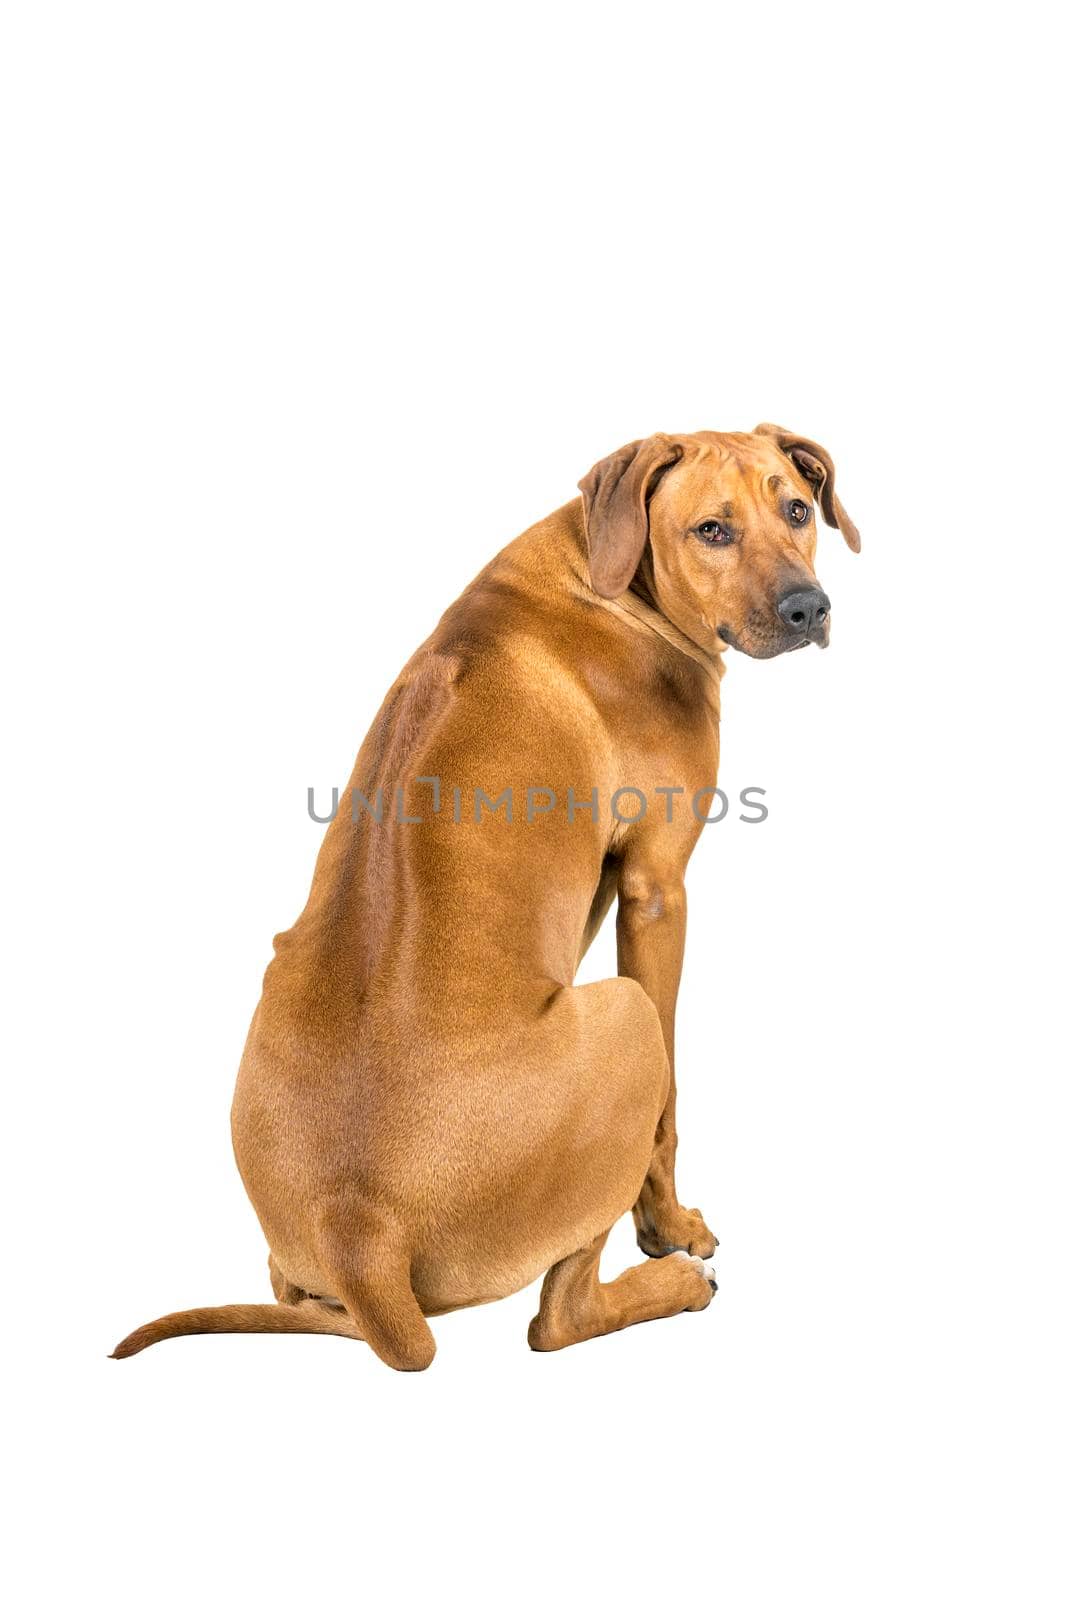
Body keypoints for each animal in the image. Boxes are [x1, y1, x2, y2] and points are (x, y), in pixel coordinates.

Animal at [112, 428, 857, 1376]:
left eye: (796, 510)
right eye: (712, 530)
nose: (809, 608)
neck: (601, 569)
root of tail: (362, 1233)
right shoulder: (657, 891)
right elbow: (671, 1117)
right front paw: (668, 1227)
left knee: (292, 1291)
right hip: (624, 1022)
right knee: (557, 1320)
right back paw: (669, 1286)